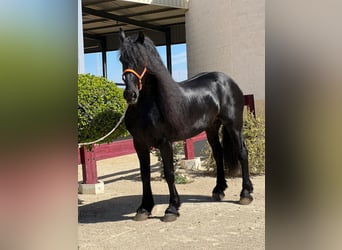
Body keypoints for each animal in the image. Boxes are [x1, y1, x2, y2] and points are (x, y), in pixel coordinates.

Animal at [119, 30, 252, 222]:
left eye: (141, 60)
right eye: (122, 59)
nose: (131, 94)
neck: (149, 105)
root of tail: (228, 81)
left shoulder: (165, 143)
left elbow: (169, 173)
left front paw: (172, 208)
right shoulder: (139, 144)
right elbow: (145, 175)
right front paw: (144, 208)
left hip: (234, 125)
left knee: (242, 152)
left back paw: (246, 193)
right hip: (211, 128)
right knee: (218, 154)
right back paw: (219, 190)